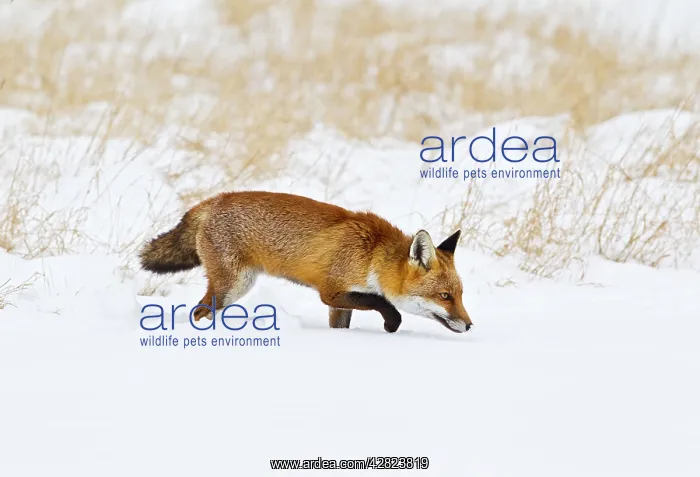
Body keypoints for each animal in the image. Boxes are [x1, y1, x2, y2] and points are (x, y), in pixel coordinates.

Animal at [139, 191, 473, 333]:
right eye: (444, 296)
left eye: (460, 295)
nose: (470, 325)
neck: (371, 255)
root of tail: (214, 199)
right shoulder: (332, 291)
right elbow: (383, 303)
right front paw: (392, 324)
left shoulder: (340, 302)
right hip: (232, 287)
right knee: (199, 312)